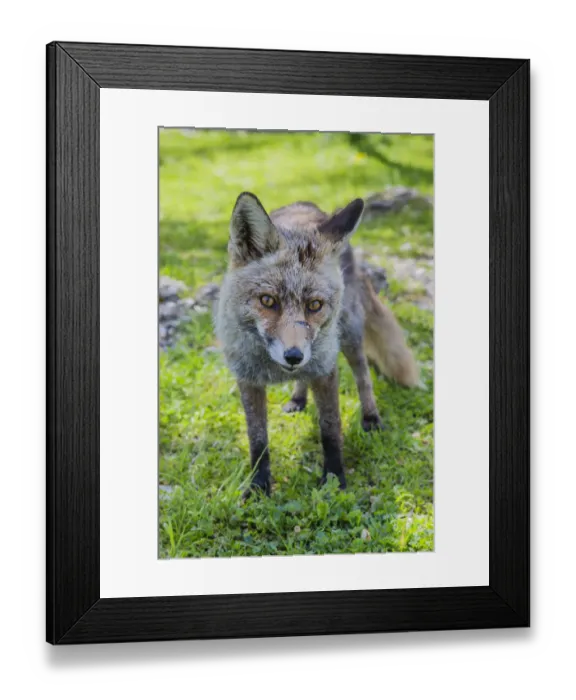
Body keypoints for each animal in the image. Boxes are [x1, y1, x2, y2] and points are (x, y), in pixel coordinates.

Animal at [216, 192, 419, 496]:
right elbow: (258, 439)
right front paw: (259, 485)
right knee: (306, 381)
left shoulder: (324, 367)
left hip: (348, 335)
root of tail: (306, 205)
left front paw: (334, 478)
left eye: (314, 305)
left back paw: (371, 417)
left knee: (363, 376)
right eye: (267, 301)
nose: (294, 356)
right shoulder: (248, 378)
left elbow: (330, 428)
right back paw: (298, 398)